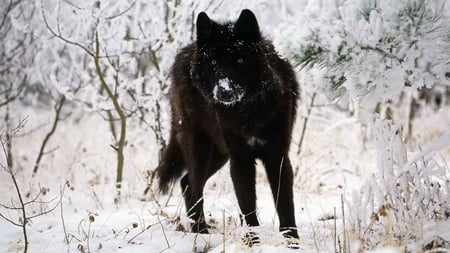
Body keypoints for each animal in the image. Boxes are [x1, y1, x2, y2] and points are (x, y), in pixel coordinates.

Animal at [155, 9, 298, 239]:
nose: (224, 91)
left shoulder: (277, 157)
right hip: (201, 150)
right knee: (193, 186)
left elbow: (285, 205)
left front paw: (293, 241)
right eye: (213, 63)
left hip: (219, 155)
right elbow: (247, 206)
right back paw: (200, 233)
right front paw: (252, 240)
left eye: (240, 59)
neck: (248, 112)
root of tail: (186, 51)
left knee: (186, 182)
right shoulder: (240, 160)